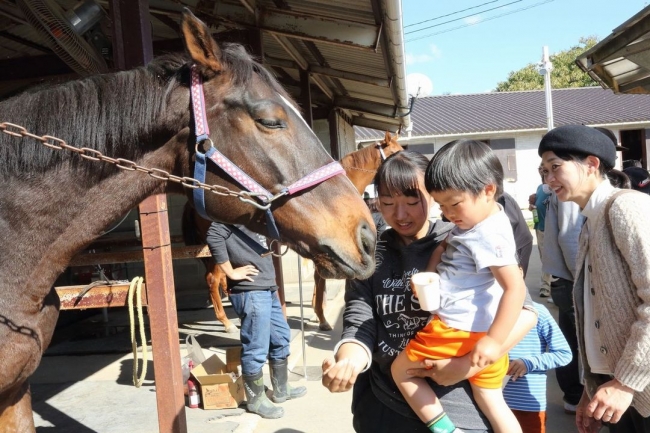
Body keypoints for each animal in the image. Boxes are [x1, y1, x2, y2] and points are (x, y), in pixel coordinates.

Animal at [182, 130, 400, 330]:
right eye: (395, 152)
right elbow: (320, 282)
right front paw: (322, 319)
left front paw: (317, 313)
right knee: (213, 279)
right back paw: (227, 323)